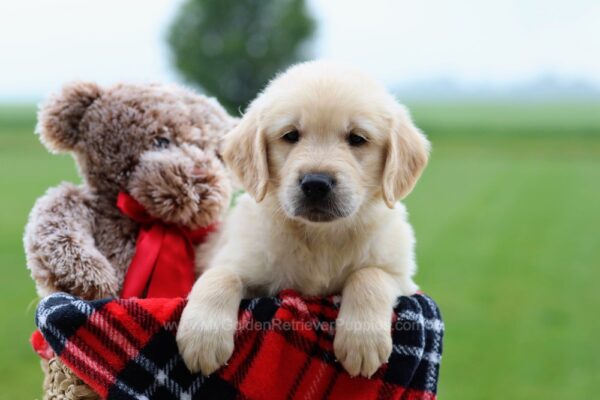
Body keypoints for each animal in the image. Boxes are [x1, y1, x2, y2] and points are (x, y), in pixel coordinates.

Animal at [176, 61, 428, 378]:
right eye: (290, 135)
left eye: (357, 138)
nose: (316, 184)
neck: (321, 237)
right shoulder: (238, 256)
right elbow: (221, 275)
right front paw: (202, 337)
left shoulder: (402, 276)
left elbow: (370, 275)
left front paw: (362, 339)